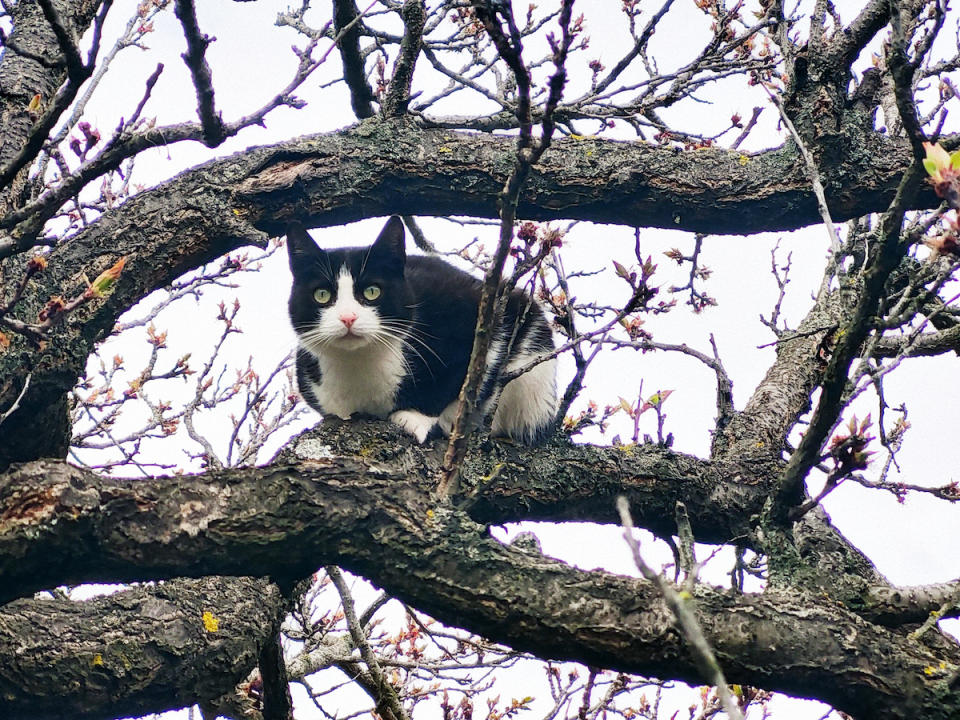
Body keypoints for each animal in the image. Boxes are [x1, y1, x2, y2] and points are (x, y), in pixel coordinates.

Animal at [284, 217, 556, 444]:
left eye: (372, 291)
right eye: (322, 295)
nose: (348, 317)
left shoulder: (475, 312)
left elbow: (466, 377)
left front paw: (414, 419)